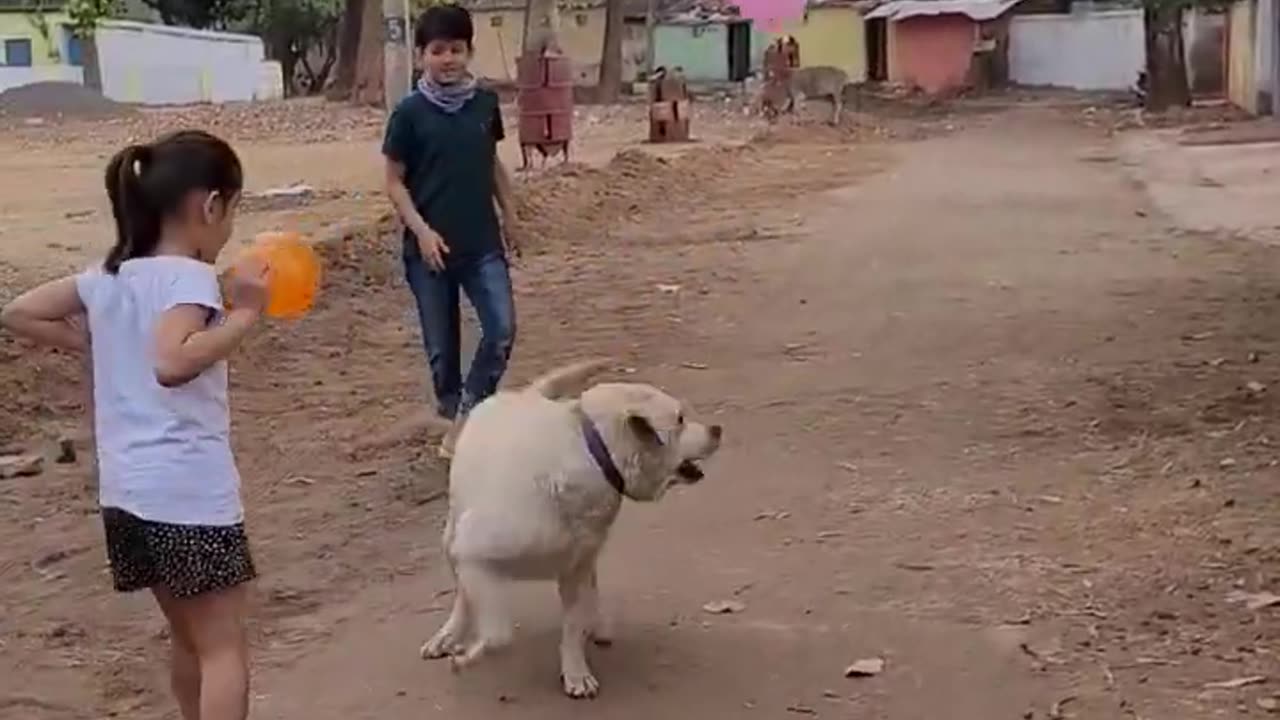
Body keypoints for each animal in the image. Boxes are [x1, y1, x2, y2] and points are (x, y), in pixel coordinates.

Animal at [419, 358, 721, 696]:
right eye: (679, 419)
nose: (717, 429)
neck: (593, 454)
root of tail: (522, 395)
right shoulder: (474, 555)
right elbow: (498, 635)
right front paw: (466, 657)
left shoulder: (576, 568)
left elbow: (573, 626)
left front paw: (576, 671)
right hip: (452, 537)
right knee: (462, 593)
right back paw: (448, 635)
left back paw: (598, 624)